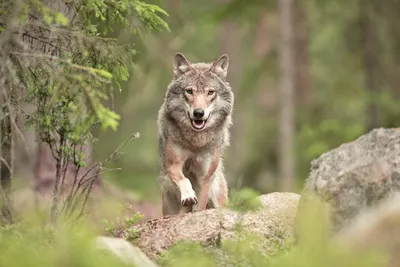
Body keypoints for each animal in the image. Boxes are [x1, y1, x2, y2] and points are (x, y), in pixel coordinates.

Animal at [156, 52, 234, 218]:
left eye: (210, 92)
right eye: (189, 91)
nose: (198, 113)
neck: (196, 142)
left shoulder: (205, 177)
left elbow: (200, 207)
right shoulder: (173, 166)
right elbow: (184, 180)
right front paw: (188, 196)